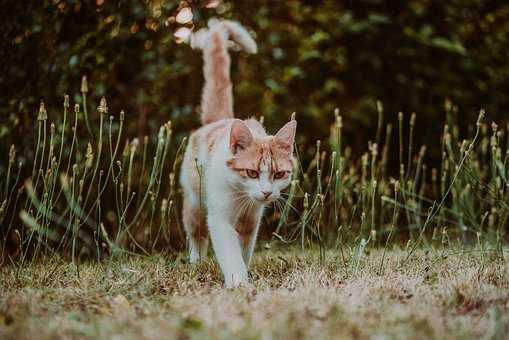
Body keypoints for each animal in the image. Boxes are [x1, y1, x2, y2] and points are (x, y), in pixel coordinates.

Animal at [180, 17, 296, 286]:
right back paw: (196, 263)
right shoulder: (220, 219)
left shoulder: (250, 222)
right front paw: (239, 282)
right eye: (251, 173)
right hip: (195, 202)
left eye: (279, 174)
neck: (243, 197)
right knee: (196, 234)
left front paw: (244, 273)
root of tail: (220, 120)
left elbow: (244, 250)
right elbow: (230, 252)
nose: (266, 192)